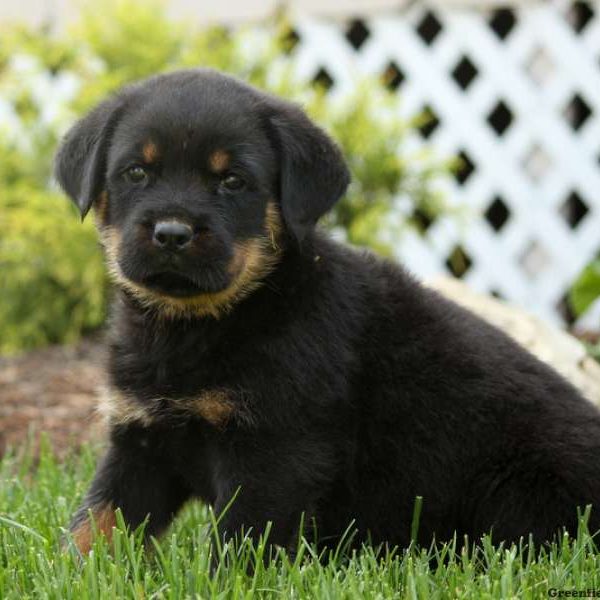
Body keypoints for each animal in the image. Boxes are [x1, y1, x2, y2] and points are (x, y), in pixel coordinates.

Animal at [55, 68, 600, 556]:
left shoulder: (274, 451)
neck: (199, 324)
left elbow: (239, 547)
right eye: (136, 172)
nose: (171, 233)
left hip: (521, 489)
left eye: (233, 181)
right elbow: (94, 524)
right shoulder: (141, 439)